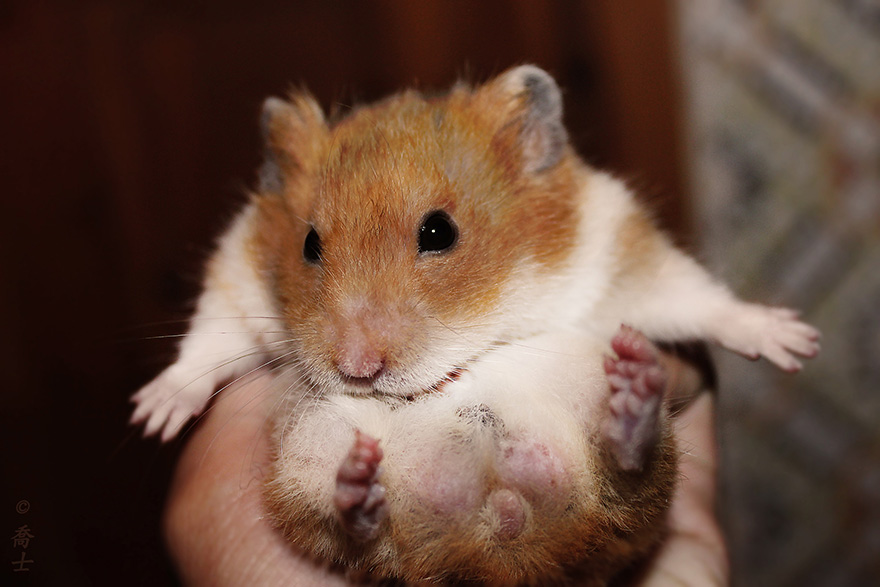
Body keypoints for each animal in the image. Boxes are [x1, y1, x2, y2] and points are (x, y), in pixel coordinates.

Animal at [131, 65, 820, 584]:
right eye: (308, 244)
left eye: (439, 232)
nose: (355, 369)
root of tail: (500, 527)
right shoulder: (236, 276)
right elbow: (208, 343)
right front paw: (153, 415)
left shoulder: (619, 255)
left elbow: (694, 297)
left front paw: (793, 341)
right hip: (307, 465)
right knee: (358, 532)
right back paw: (358, 489)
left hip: (620, 487)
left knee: (630, 479)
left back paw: (634, 405)